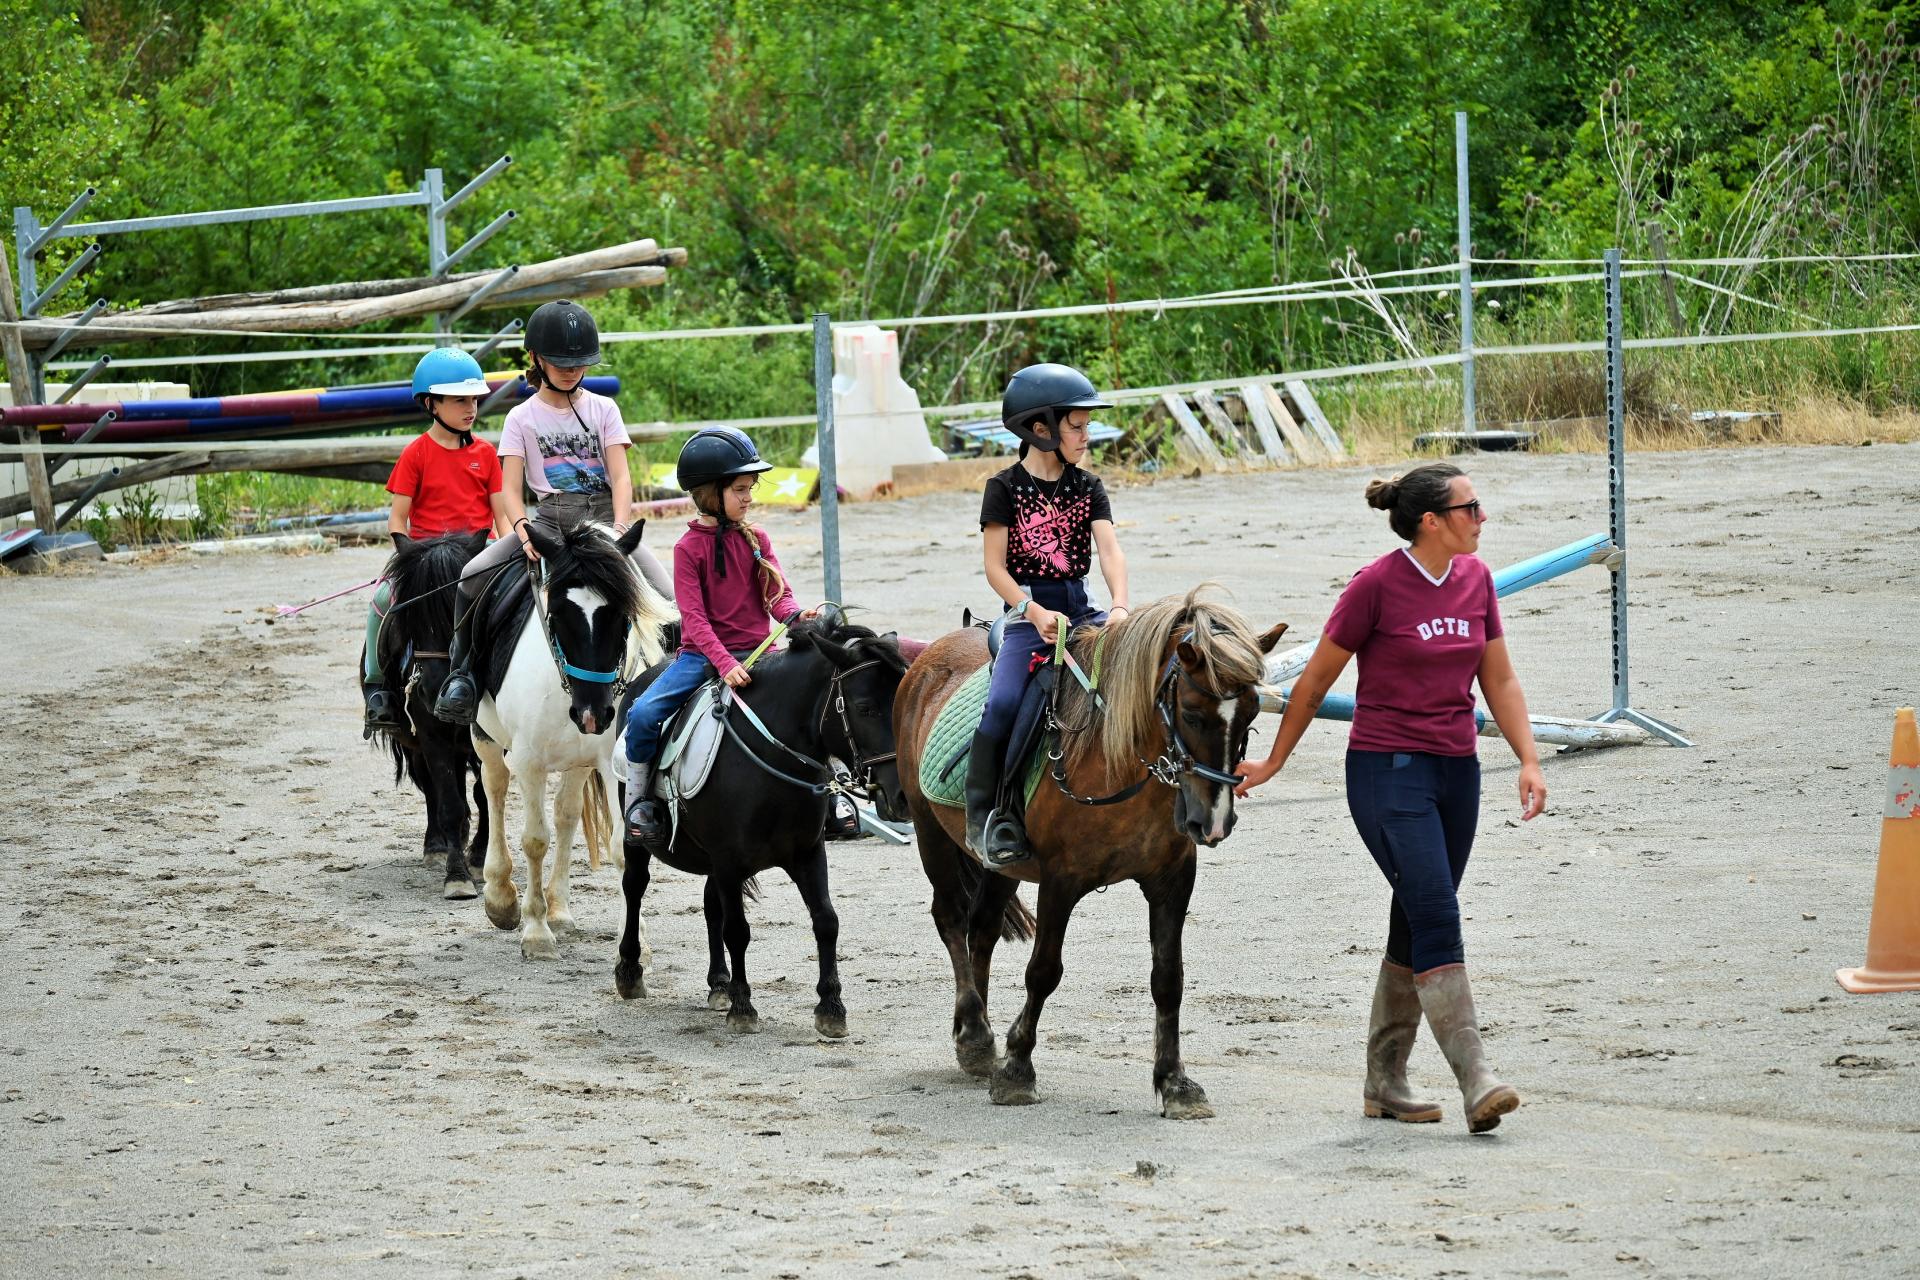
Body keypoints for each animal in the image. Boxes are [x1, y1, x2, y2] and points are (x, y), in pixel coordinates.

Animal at [362, 529, 491, 901]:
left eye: (462, 608)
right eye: (412, 614)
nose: (434, 687)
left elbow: (484, 797)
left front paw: (479, 858)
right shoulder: (432, 737)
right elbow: (449, 803)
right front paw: (457, 877)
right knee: (433, 789)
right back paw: (437, 847)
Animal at [464, 521, 675, 959]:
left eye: (622, 616)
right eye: (558, 615)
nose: (594, 715)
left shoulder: (615, 762)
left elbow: (621, 848)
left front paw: (635, 943)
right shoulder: (528, 762)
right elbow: (534, 840)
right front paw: (535, 933)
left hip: (578, 761)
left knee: (566, 813)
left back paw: (558, 909)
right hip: (486, 737)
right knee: (494, 789)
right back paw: (501, 898)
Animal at [614, 614, 913, 1036]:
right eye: (865, 707)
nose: (902, 795)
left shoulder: (807, 853)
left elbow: (826, 921)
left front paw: (831, 1008)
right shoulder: (728, 860)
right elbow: (738, 931)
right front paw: (743, 1008)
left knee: (711, 905)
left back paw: (719, 983)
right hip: (641, 839)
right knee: (635, 887)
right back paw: (630, 971)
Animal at [887, 587, 1282, 1113]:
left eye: (1253, 715)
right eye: (1193, 714)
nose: (1213, 821)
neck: (1121, 764)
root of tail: (933, 654)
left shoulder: (1173, 880)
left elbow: (1168, 979)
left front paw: (1175, 1082)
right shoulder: (1061, 879)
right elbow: (1043, 971)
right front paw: (1017, 1070)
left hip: (1000, 865)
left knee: (983, 928)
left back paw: (978, 1039)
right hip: (930, 830)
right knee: (951, 917)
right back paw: (973, 1031)